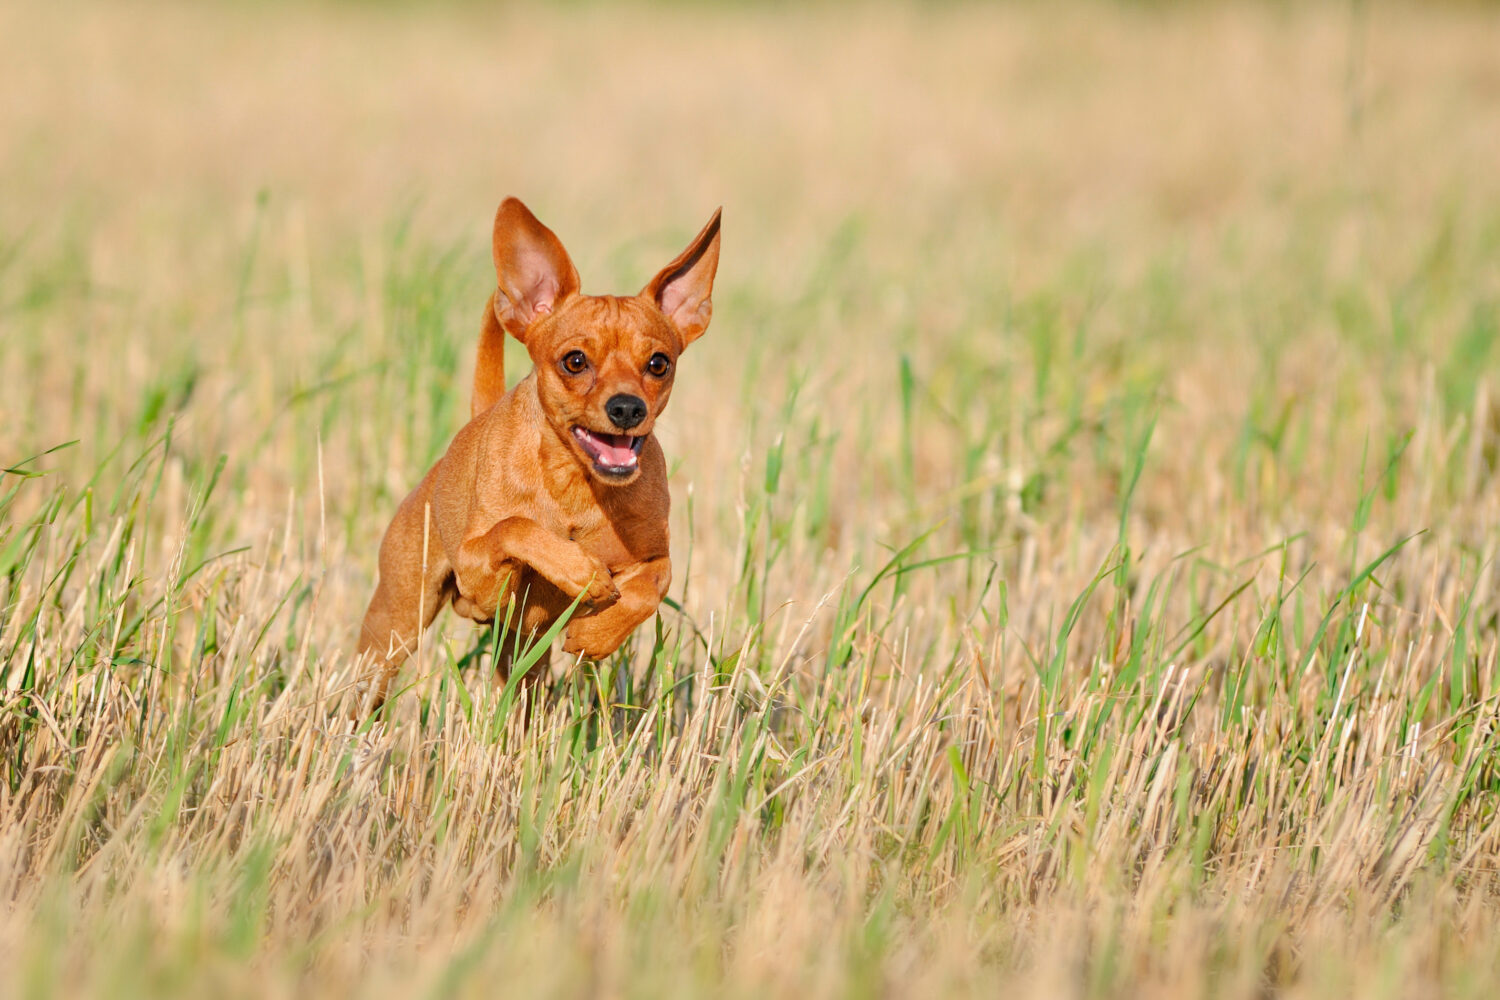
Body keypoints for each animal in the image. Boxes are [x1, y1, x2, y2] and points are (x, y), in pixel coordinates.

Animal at [357, 197, 720, 710]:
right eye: (575, 360)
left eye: (658, 363)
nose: (628, 408)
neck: (577, 487)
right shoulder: (478, 579)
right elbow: (515, 526)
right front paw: (580, 571)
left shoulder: (654, 556)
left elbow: (655, 582)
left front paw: (598, 632)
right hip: (396, 624)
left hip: (522, 653)